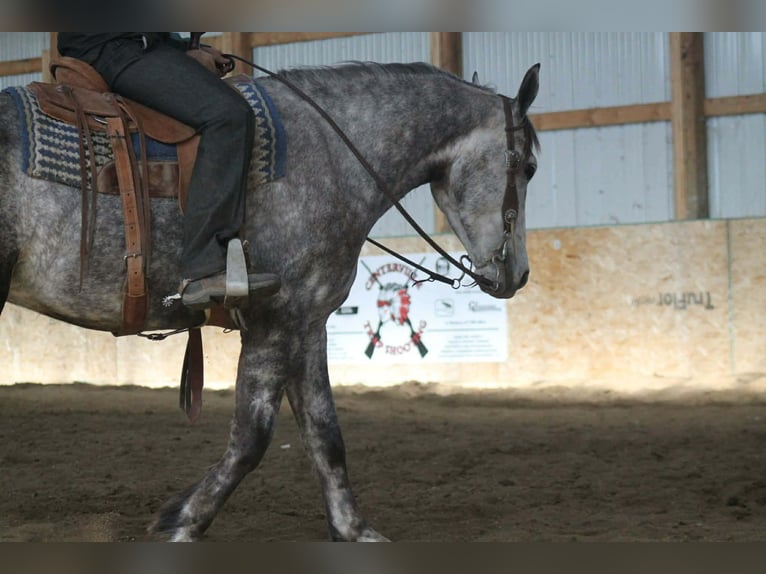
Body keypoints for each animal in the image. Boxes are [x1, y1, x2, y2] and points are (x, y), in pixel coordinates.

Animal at [0, 61, 540, 541]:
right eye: (530, 166)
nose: (519, 274)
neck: (332, 156)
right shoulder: (274, 324)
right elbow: (252, 438)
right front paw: (182, 522)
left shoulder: (306, 324)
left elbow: (326, 436)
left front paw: (353, 529)